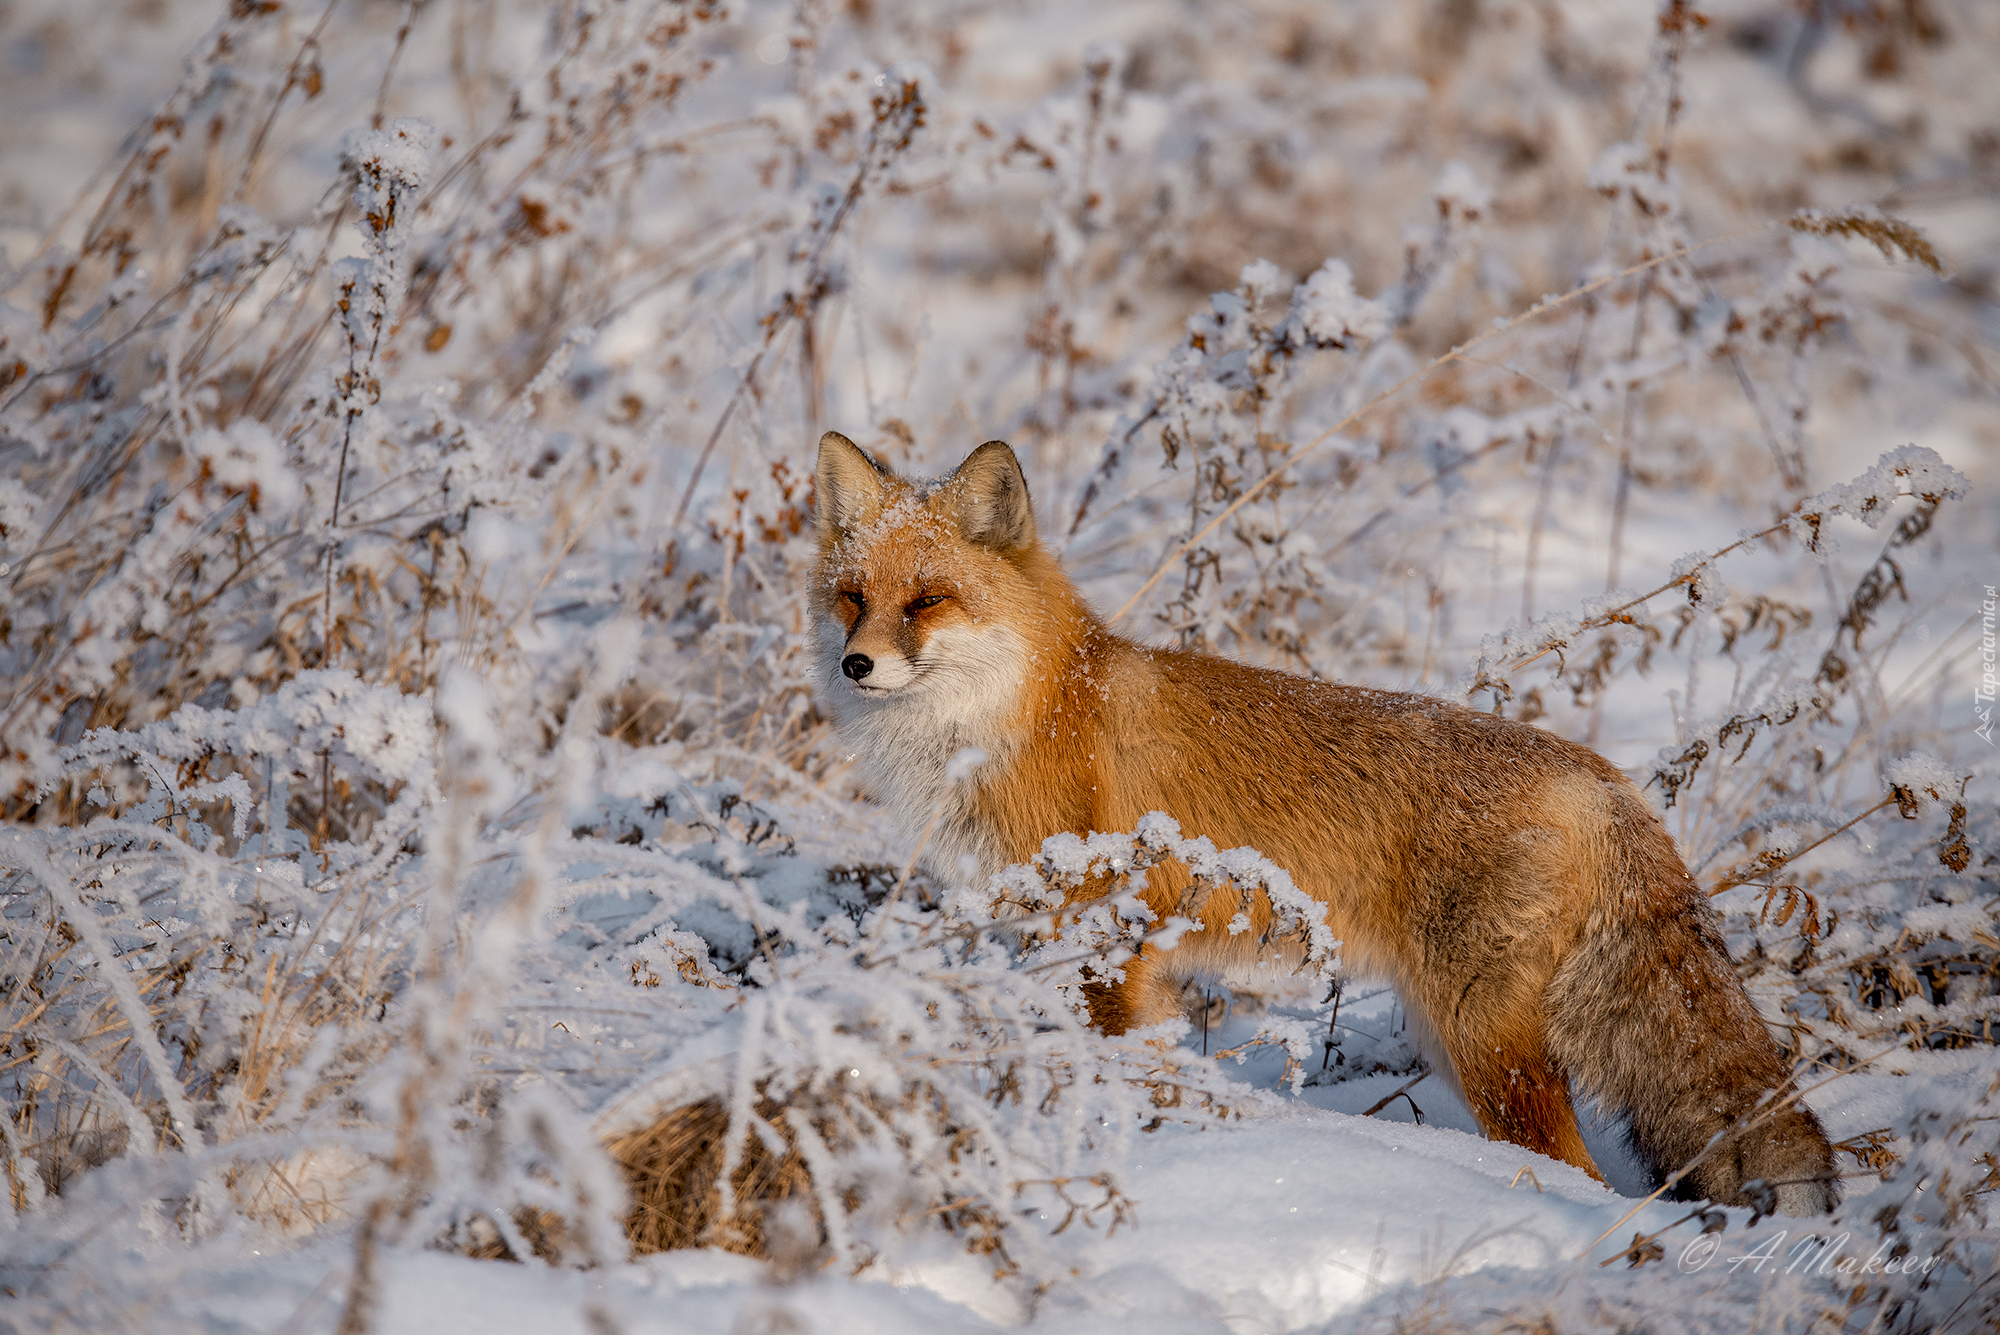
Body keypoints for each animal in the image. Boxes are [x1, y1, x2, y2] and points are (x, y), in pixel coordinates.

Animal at [804, 433, 1832, 1215]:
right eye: (853, 597)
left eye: (928, 600)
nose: (856, 665)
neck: (1024, 714)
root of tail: (1604, 777)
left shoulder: (1107, 939)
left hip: (1482, 1045)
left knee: (1578, 1172)